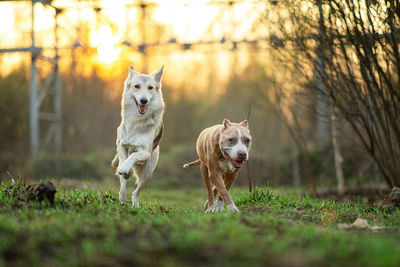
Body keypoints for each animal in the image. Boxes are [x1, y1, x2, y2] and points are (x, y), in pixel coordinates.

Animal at [111, 65, 164, 207]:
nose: (143, 100)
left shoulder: (145, 153)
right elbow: (124, 161)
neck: (137, 121)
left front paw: (126, 168)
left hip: (148, 173)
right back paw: (122, 197)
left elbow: (133, 156)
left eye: (150, 87)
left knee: (136, 192)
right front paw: (125, 170)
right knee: (123, 185)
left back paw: (135, 204)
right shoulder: (121, 145)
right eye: (136, 86)